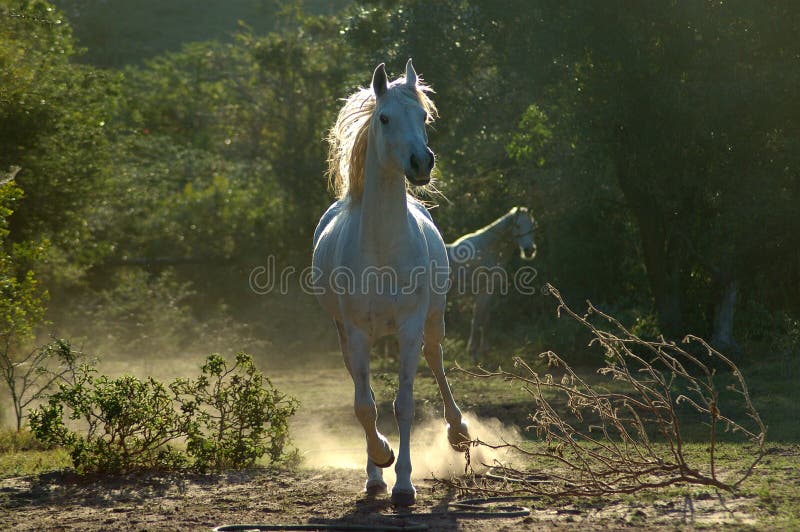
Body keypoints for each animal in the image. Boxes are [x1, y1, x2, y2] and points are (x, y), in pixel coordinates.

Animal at [310, 60, 468, 504]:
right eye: (384, 117)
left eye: (423, 116)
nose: (421, 162)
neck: (382, 251)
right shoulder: (357, 333)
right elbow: (366, 406)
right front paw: (381, 460)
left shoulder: (410, 329)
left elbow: (404, 405)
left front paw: (405, 485)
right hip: (345, 333)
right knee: (361, 391)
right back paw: (374, 474)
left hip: (433, 321)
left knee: (436, 360)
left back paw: (459, 433)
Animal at [444, 207, 536, 362]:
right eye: (517, 226)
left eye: (532, 226)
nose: (529, 250)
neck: (486, 251)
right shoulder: (482, 292)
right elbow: (477, 319)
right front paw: (473, 353)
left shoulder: (489, 293)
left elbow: (486, 320)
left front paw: (484, 351)